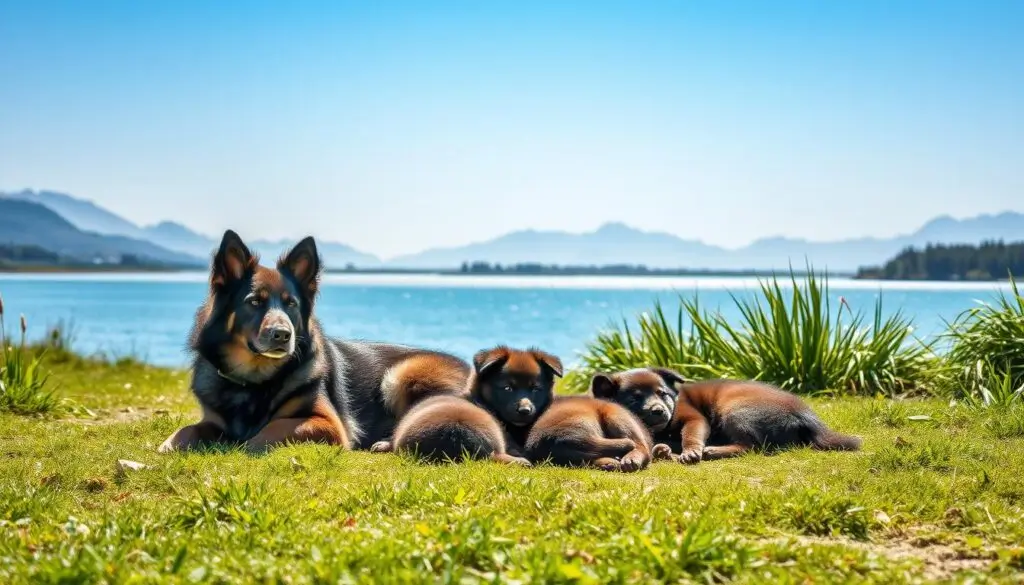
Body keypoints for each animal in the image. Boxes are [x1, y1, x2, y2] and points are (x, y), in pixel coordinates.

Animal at [157, 231, 468, 454]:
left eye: (291, 303)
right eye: (254, 301)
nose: (282, 335)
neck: (256, 382)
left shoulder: (327, 423)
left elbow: (276, 426)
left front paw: (247, 443)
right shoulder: (211, 420)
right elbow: (188, 429)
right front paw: (168, 445)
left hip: (401, 375)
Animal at [589, 368, 860, 465]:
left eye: (662, 394)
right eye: (634, 399)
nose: (659, 410)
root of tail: (808, 417)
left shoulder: (695, 419)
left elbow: (691, 435)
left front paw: (690, 451)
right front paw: (666, 449)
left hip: (735, 410)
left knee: (750, 446)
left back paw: (711, 451)